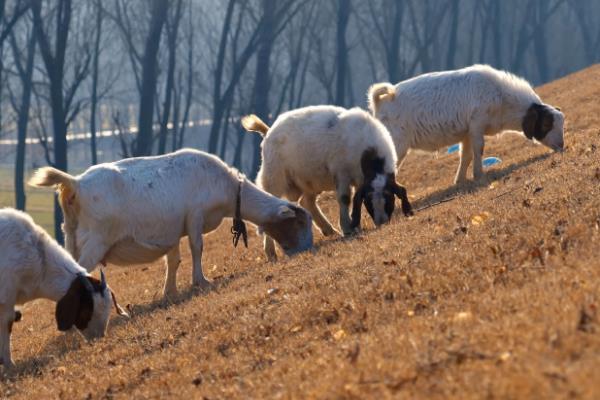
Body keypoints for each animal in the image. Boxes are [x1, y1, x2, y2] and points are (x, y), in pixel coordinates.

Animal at [29, 148, 314, 298]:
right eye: (300, 224)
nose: (308, 251)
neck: (229, 189)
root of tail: (75, 184)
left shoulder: (174, 229)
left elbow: (173, 259)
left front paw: (170, 292)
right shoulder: (195, 216)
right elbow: (197, 248)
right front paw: (201, 281)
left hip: (72, 236)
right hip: (95, 240)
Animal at [241, 105, 414, 260]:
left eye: (390, 198)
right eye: (368, 202)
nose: (382, 222)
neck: (368, 153)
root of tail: (268, 131)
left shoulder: (359, 180)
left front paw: (353, 226)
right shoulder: (341, 173)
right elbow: (345, 198)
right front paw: (347, 228)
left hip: (310, 181)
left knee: (306, 202)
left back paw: (329, 230)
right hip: (273, 179)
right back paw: (270, 253)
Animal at [368, 64, 564, 184]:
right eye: (546, 124)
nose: (562, 147)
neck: (502, 99)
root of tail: (379, 103)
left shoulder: (467, 132)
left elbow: (466, 155)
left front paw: (460, 180)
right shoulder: (477, 124)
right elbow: (479, 149)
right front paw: (479, 175)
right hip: (395, 145)